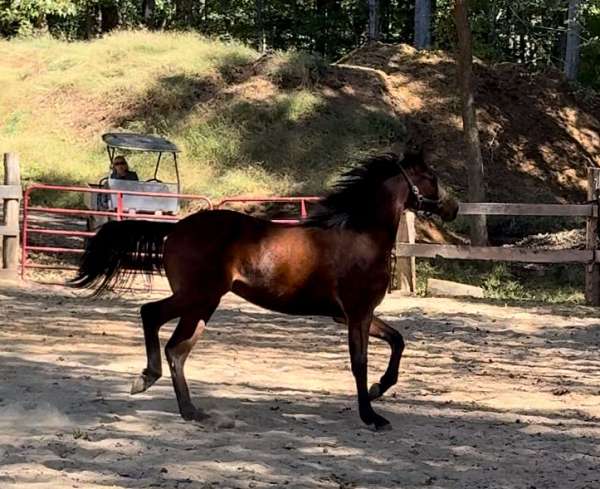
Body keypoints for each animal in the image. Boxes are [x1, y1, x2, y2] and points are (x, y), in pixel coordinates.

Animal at [75, 151, 460, 428]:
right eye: (432, 178)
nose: (453, 208)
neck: (359, 235)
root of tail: (177, 228)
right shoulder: (357, 314)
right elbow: (360, 362)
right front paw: (372, 416)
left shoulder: (351, 315)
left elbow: (397, 341)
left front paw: (380, 389)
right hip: (198, 297)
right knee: (152, 316)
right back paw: (147, 380)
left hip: (203, 305)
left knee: (177, 349)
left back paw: (192, 411)